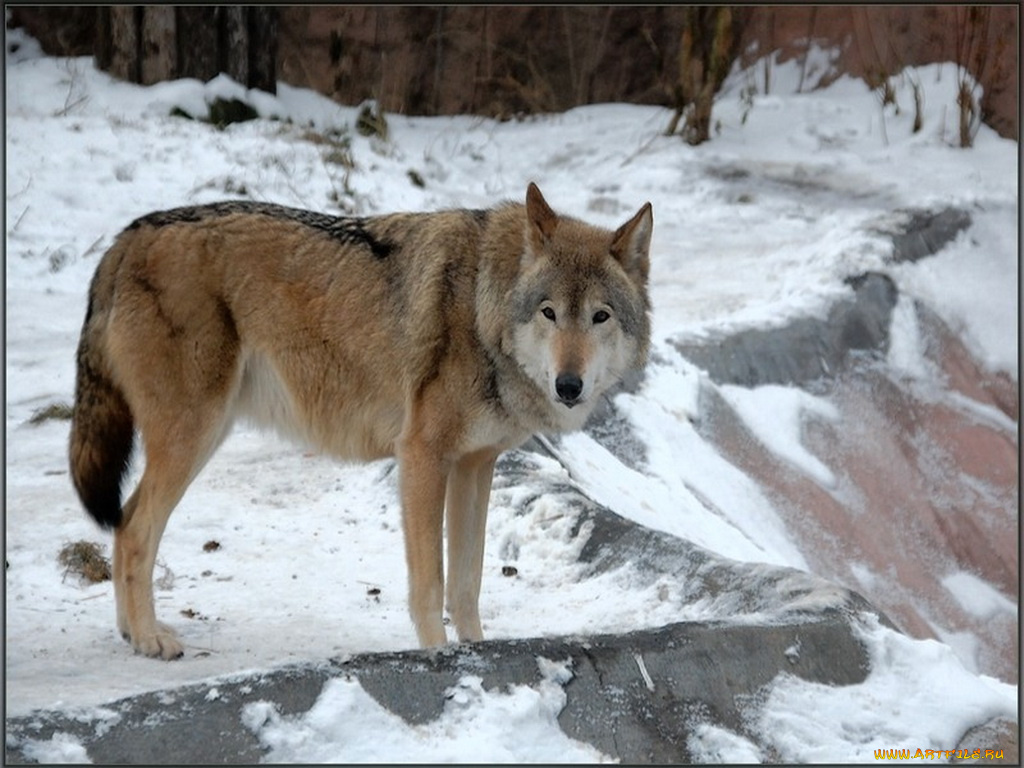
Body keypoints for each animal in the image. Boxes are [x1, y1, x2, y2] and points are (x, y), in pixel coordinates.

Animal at [68, 183, 651, 659]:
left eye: (599, 317)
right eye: (549, 312)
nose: (569, 385)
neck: (482, 305)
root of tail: (124, 239)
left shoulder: (475, 466)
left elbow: (467, 583)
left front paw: (478, 652)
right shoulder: (421, 457)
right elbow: (431, 584)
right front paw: (437, 656)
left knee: (125, 520)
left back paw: (131, 633)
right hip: (195, 435)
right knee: (135, 527)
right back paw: (150, 638)